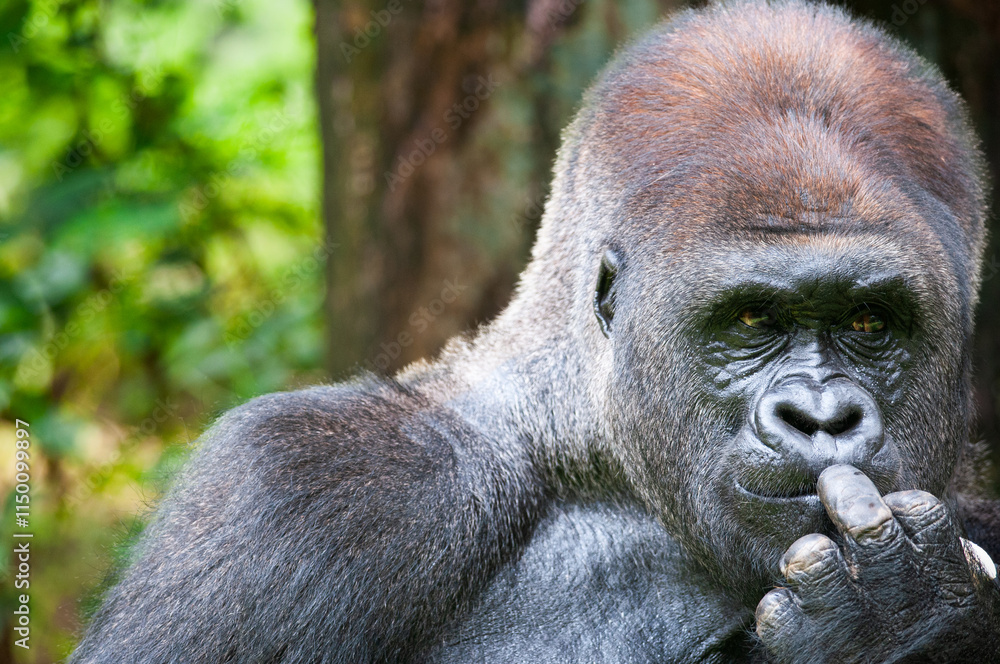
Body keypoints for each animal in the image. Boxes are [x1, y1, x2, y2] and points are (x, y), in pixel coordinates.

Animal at [70, 0, 1000, 662]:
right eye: (750, 320)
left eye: (870, 321)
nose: (820, 417)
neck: (588, 452)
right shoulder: (300, 488)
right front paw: (898, 624)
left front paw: (911, 627)